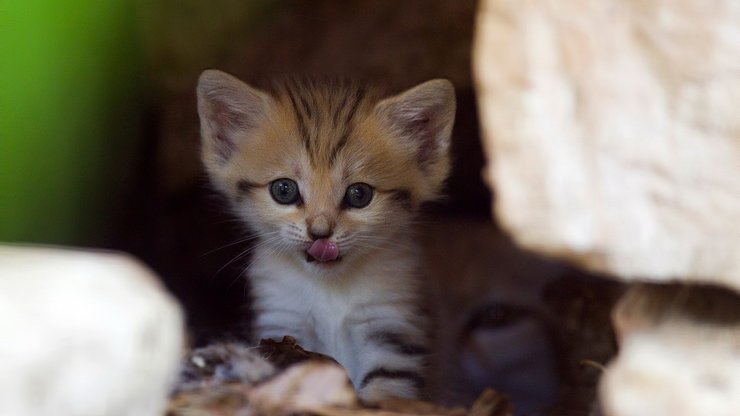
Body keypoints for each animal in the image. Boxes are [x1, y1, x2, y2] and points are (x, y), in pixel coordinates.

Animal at [194, 69, 454, 404]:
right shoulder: (283, 322)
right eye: (284, 190)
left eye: (359, 194)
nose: (320, 232)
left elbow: (388, 388)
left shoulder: (391, 324)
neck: (329, 287)